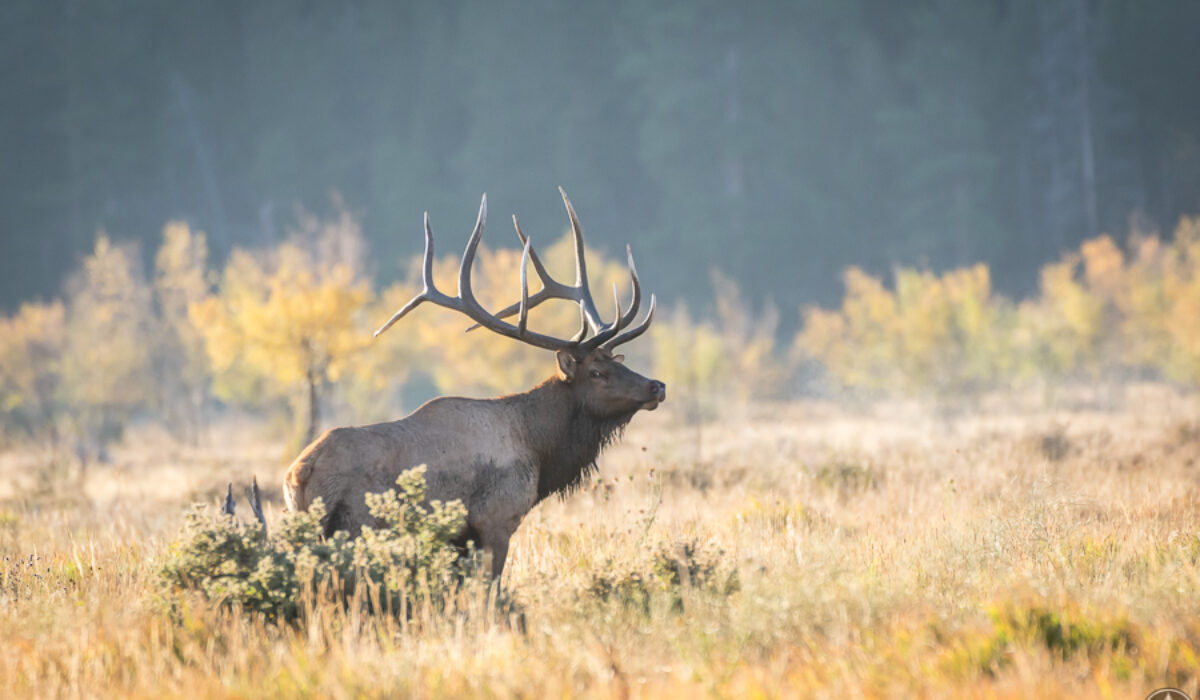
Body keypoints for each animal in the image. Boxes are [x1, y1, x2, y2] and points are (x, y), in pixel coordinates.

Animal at [286, 188, 672, 578]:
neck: (539, 450)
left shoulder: (461, 538)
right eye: (596, 372)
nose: (657, 386)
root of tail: (299, 471)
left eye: (615, 362)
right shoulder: (496, 519)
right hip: (352, 527)